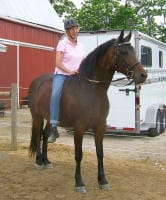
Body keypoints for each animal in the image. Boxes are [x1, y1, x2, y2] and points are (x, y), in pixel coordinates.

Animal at [27, 30, 147, 193]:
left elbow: (100, 153)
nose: (143, 75)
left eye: (133, 51)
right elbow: (79, 154)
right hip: (37, 117)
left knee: (45, 135)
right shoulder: (79, 128)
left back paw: (46, 161)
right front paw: (79, 183)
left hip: (49, 118)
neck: (92, 89)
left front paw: (103, 180)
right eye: (123, 52)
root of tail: (36, 82)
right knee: (38, 135)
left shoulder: (100, 127)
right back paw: (39, 161)